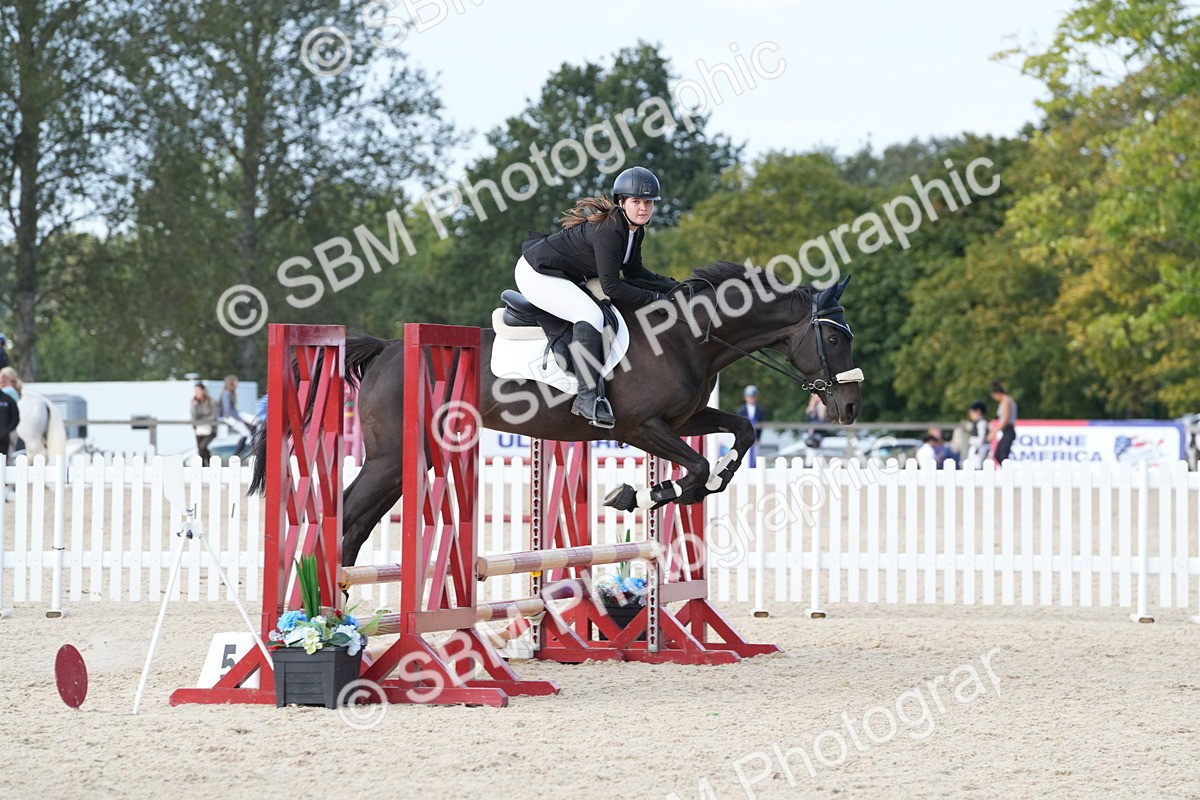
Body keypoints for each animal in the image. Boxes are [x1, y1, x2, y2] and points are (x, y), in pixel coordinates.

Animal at [251, 261, 863, 567]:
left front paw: (681, 491)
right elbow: (691, 466)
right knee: (343, 514)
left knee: (357, 522)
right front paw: (638, 495)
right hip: (390, 457)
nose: (851, 407)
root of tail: (384, 349)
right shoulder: (640, 427)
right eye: (834, 339)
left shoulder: (685, 421)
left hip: (409, 460)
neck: (689, 335)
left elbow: (737, 436)